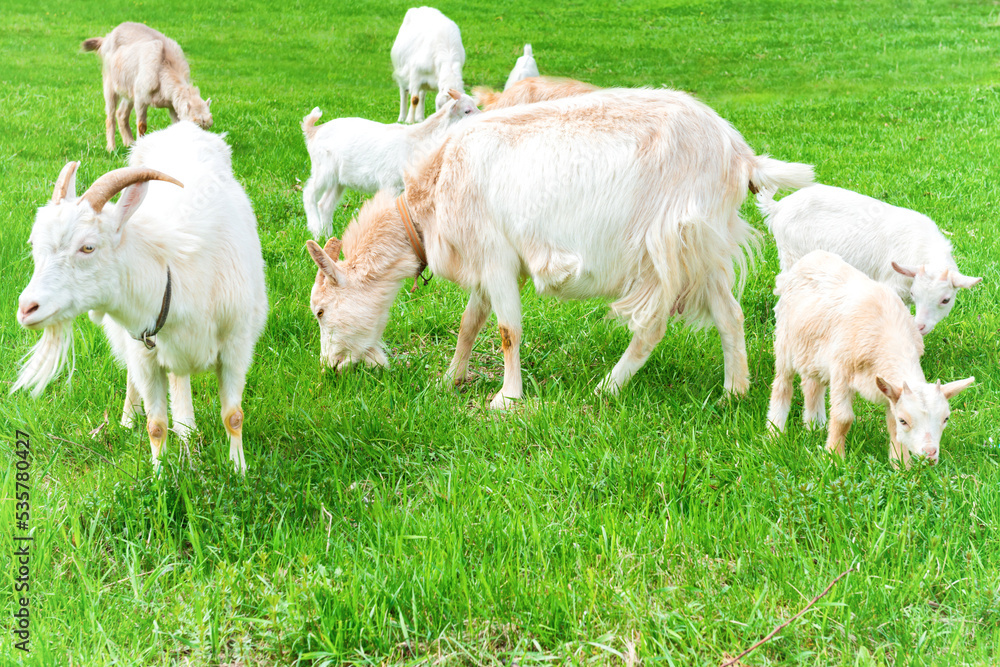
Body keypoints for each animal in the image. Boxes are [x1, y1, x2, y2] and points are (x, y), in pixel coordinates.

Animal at [14, 122, 267, 473]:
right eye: (34, 245)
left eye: (88, 247)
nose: (27, 308)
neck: (175, 276)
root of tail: (182, 126)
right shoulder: (145, 352)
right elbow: (156, 425)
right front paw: (160, 476)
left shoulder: (236, 346)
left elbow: (233, 416)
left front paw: (239, 470)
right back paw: (130, 421)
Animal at [82, 22, 213, 152]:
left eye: (207, 127)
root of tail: (107, 37)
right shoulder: (141, 99)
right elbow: (141, 126)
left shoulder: (172, 105)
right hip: (109, 82)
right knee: (110, 116)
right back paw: (111, 148)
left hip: (130, 89)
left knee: (121, 114)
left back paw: (129, 143)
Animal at [300, 90, 479, 239]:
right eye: (467, 111)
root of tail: (314, 130)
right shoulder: (391, 184)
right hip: (323, 169)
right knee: (309, 193)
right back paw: (316, 231)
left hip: (339, 180)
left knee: (325, 204)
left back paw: (327, 236)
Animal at [758, 183, 981, 335]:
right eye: (914, 293)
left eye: (946, 299)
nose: (921, 326)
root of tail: (778, 207)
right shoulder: (893, 285)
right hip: (792, 255)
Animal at [767, 250, 974, 466]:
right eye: (904, 420)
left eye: (946, 418)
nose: (930, 453)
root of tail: (813, 256)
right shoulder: (841, 370)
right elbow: (843, 418)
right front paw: (834, 458)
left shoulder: (888, 388)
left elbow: (891, 425)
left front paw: (901, 465)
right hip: (784, 342)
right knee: (782, 386)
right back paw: (775, 434)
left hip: (812, 354)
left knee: (812, 385)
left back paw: (815, 426)